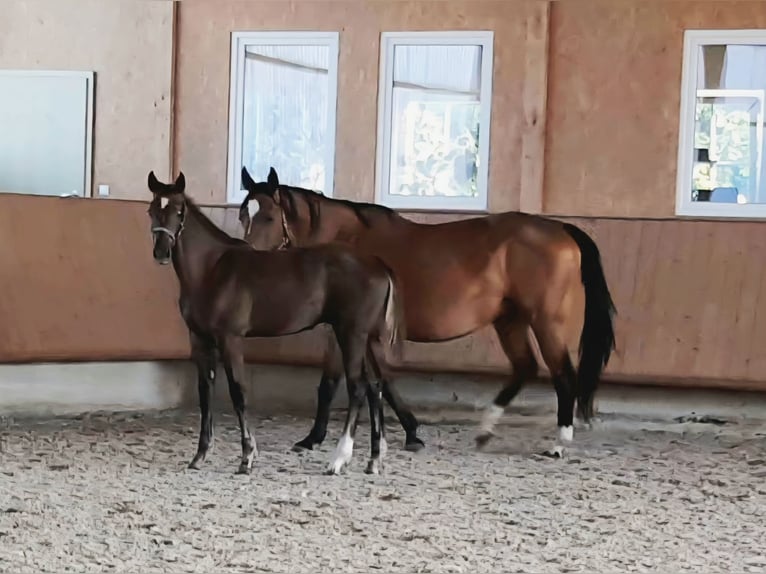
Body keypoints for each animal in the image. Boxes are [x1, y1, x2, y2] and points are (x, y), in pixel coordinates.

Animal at [146, 170, 404, 475]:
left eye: (178, 210)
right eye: (152, 211)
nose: (161, 253)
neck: (212, 269)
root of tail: (378, 264)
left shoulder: (230, 339)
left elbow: (238, 392)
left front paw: (247, 457)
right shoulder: (199, 340)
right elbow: (204, 393)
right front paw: (200, 456)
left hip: (350, 334)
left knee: (358, 388)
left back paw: (339, 459)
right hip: (367, 339)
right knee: (376, 386)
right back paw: (374, 460)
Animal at [239, 166, 616, 457]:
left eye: (268, 216)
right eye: (244, 215)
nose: (248, 258)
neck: (346, 242)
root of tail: (560, 228)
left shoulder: (345, 328)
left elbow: (336, 382)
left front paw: (313, 439)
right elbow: (380, 382)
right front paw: (408, 433)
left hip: (544, 320)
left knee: (563, 374)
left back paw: (558, 443)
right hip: (509, 319)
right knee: (525, 367)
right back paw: (485, 431)